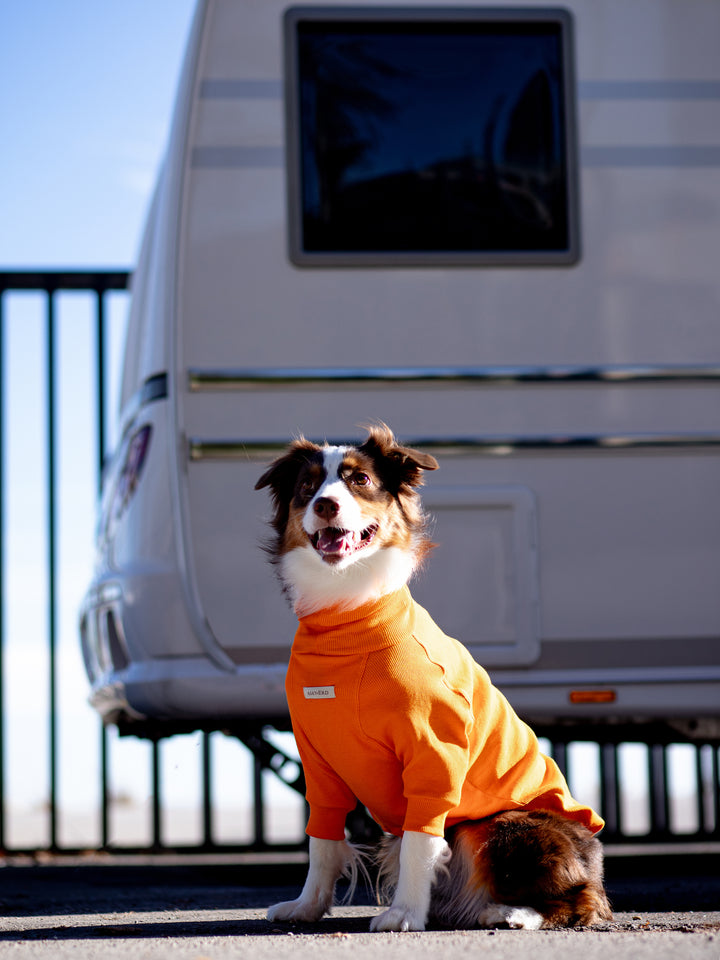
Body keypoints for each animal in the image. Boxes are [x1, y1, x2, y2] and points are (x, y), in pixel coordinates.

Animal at [256, 422, 612, 928]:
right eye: (308, 486)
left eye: (359, 480)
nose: (326, 505)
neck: (348, 618)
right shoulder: (318, 758)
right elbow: (322, 842)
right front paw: (307, 906)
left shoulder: (433, 752)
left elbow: (419, 843)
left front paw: (405, 913)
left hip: (503, 826)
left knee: (578, 900)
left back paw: (511, 912)